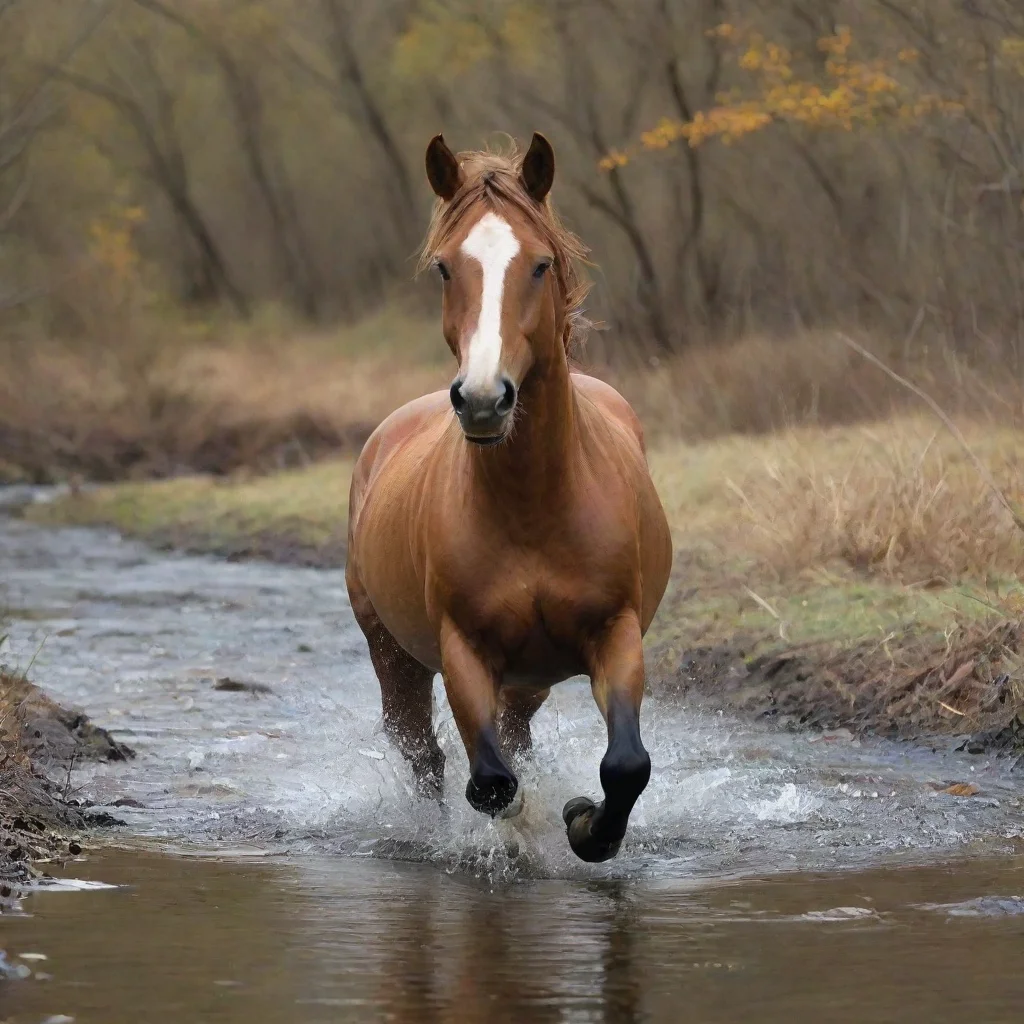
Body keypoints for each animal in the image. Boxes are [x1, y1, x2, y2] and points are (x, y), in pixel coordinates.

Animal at [345, 132, 673, 862]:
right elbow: (493, 782)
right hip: (393, 654)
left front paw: (584, 824)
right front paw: (528, 828)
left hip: (530, 677)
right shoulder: (464, 649)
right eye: (445, 268)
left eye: (540, 264)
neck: (534, 505)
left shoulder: (615, 632)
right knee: (426, 756)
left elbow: (626, 765)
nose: (483, 398)